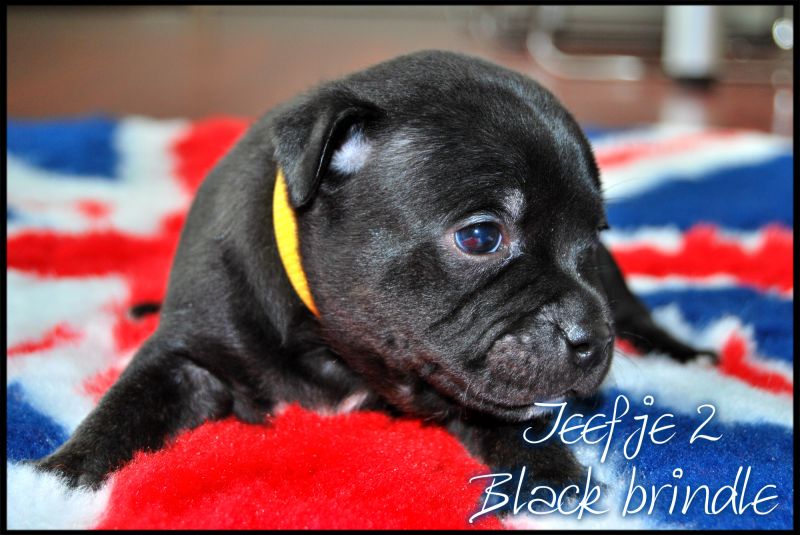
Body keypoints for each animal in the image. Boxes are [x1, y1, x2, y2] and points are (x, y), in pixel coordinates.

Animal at [33, 50, 714, 491]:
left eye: (592, 239)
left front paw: (553, 477)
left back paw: (689, 354)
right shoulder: (187, 354)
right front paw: (59, 479)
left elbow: (507, 417)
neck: (328, 345)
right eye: (481, 236)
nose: (590, 339)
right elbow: (122, 410)